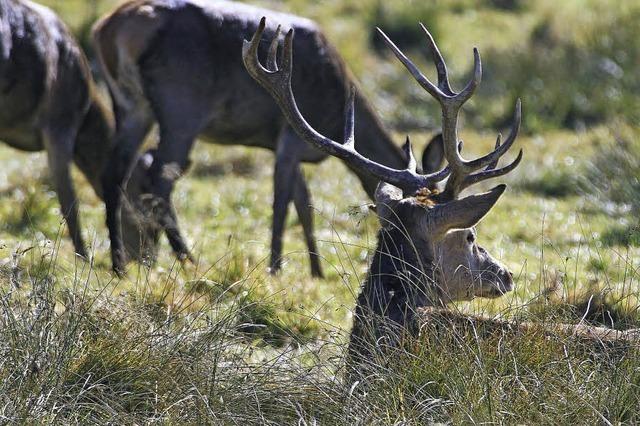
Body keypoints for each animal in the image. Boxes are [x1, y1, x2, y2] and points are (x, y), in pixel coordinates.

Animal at [92, 0, 444, 276]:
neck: (336, 115)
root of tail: (111, 27)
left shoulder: (289, 146)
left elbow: (304, 204)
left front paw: (316, 271)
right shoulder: (291, 137)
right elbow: (282, 202)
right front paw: (276, 267)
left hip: (131, 104)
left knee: (114, 171)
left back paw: (119, 265)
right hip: (181, 106)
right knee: (160, 178)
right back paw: (188, 260)